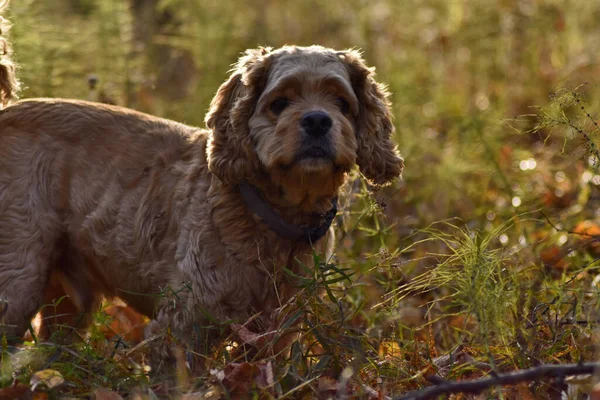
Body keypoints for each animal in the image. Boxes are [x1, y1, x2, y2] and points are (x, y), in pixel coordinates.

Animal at [0, 19, 406, 362]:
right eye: (279, 103)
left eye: (342, 104)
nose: (318, 120)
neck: (271, 217)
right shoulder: (183, 325)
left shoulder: (276, 333)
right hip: (18, 278)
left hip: (68, 300)